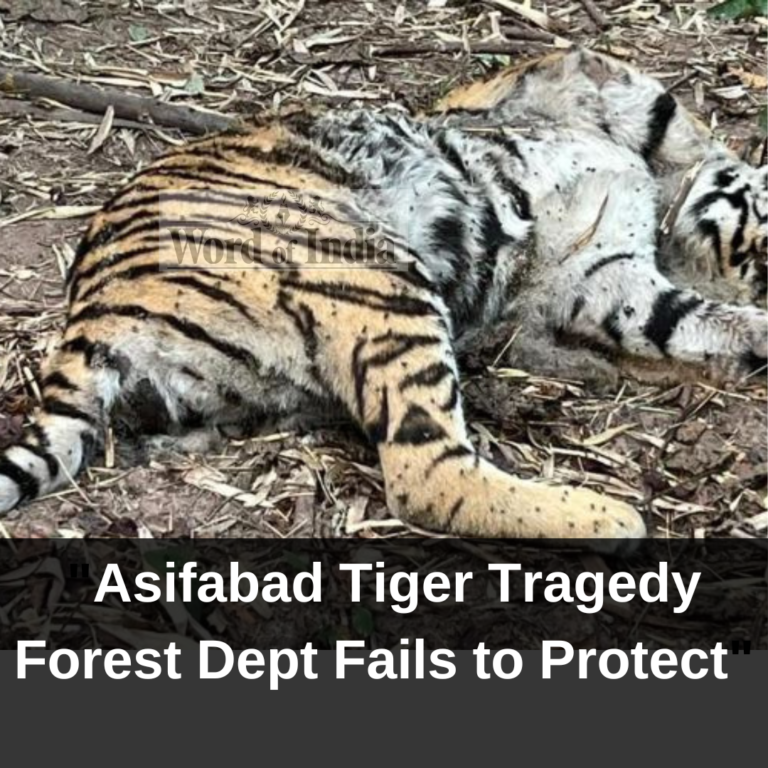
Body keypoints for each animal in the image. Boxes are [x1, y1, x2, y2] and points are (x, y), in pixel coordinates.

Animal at [0, 49, 765, 550]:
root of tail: (88, 315)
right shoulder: (569, 78)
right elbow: (665, 115)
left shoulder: (604, 277)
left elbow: (691, 320)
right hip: (379, 279)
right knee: (425, 477)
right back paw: (613, 519)